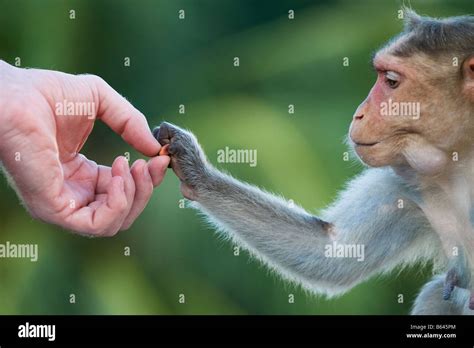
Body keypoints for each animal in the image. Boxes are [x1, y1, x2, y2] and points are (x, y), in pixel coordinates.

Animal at [152, 9, 474, 316]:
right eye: (383, 77)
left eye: (392, 82)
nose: (359, 113)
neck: (461, 161)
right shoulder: (404, 184)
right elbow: (332, 253)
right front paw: (194, 168)